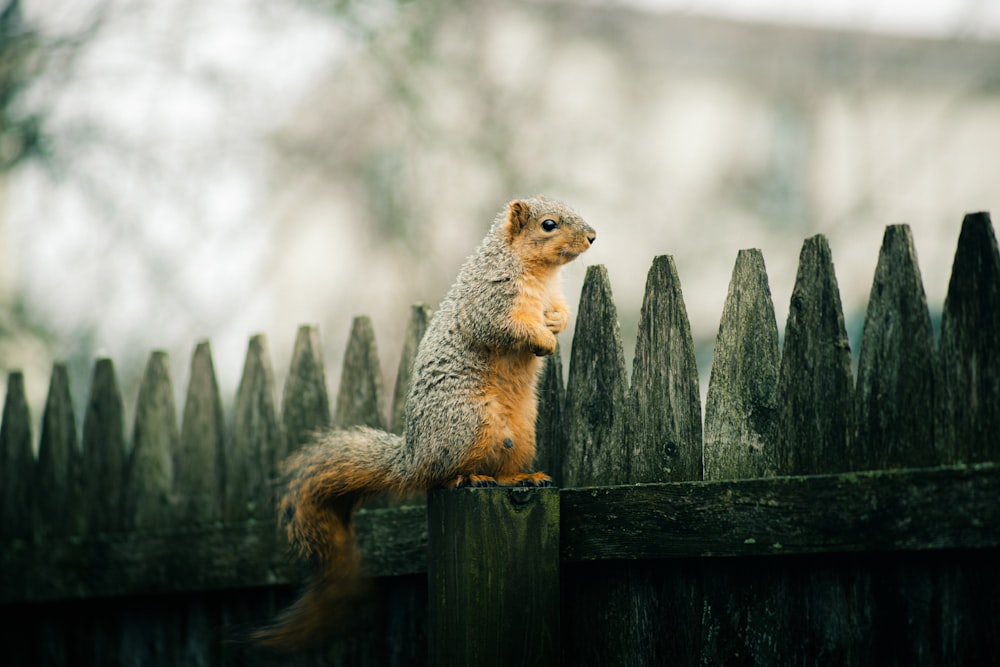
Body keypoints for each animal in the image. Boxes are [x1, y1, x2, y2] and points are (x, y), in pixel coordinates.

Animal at [254, 196, 592, 648]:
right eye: (549, 224)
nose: (592, 236)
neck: (538, 273)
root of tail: (414, 456)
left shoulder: (551, 296)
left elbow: (560, 312)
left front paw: (555, 325)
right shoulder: (491, 300)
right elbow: (504, 327)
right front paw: (542, 340)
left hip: (519, 432)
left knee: (499, 469)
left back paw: (522, 477)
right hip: (468, 423)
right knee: (440, 477)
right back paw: (468, 479)